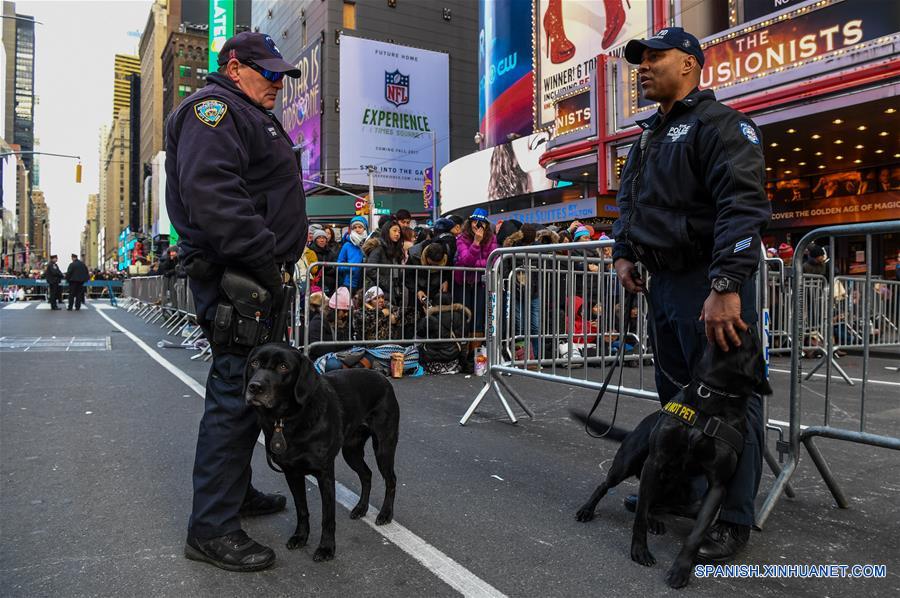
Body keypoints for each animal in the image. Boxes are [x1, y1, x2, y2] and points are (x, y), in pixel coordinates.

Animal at [246, 342, 400, 564]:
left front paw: (326, 548)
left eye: (283, 366)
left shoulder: (324, 473)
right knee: (367, 474)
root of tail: (382, 378)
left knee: (391, 480)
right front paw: (300, 537)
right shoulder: (292, 473)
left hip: (383, 447)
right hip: (351, 451)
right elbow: (302, 509)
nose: (255, 387)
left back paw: (385, 514)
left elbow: (328, 516)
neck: (289, 419)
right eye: (254, 363)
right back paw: (361, 508)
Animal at [572, 328, 768, 592]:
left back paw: (656, 520)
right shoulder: (654, 462)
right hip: (627, 464)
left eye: (753, 345)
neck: (713, 396)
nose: (748, 326)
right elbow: (639, 518)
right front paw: (639, 551)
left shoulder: (717, 486)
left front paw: (681, 569)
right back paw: (588, 509)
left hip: (687, 495)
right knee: (610, 488)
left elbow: (696, 535)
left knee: (657, 505)